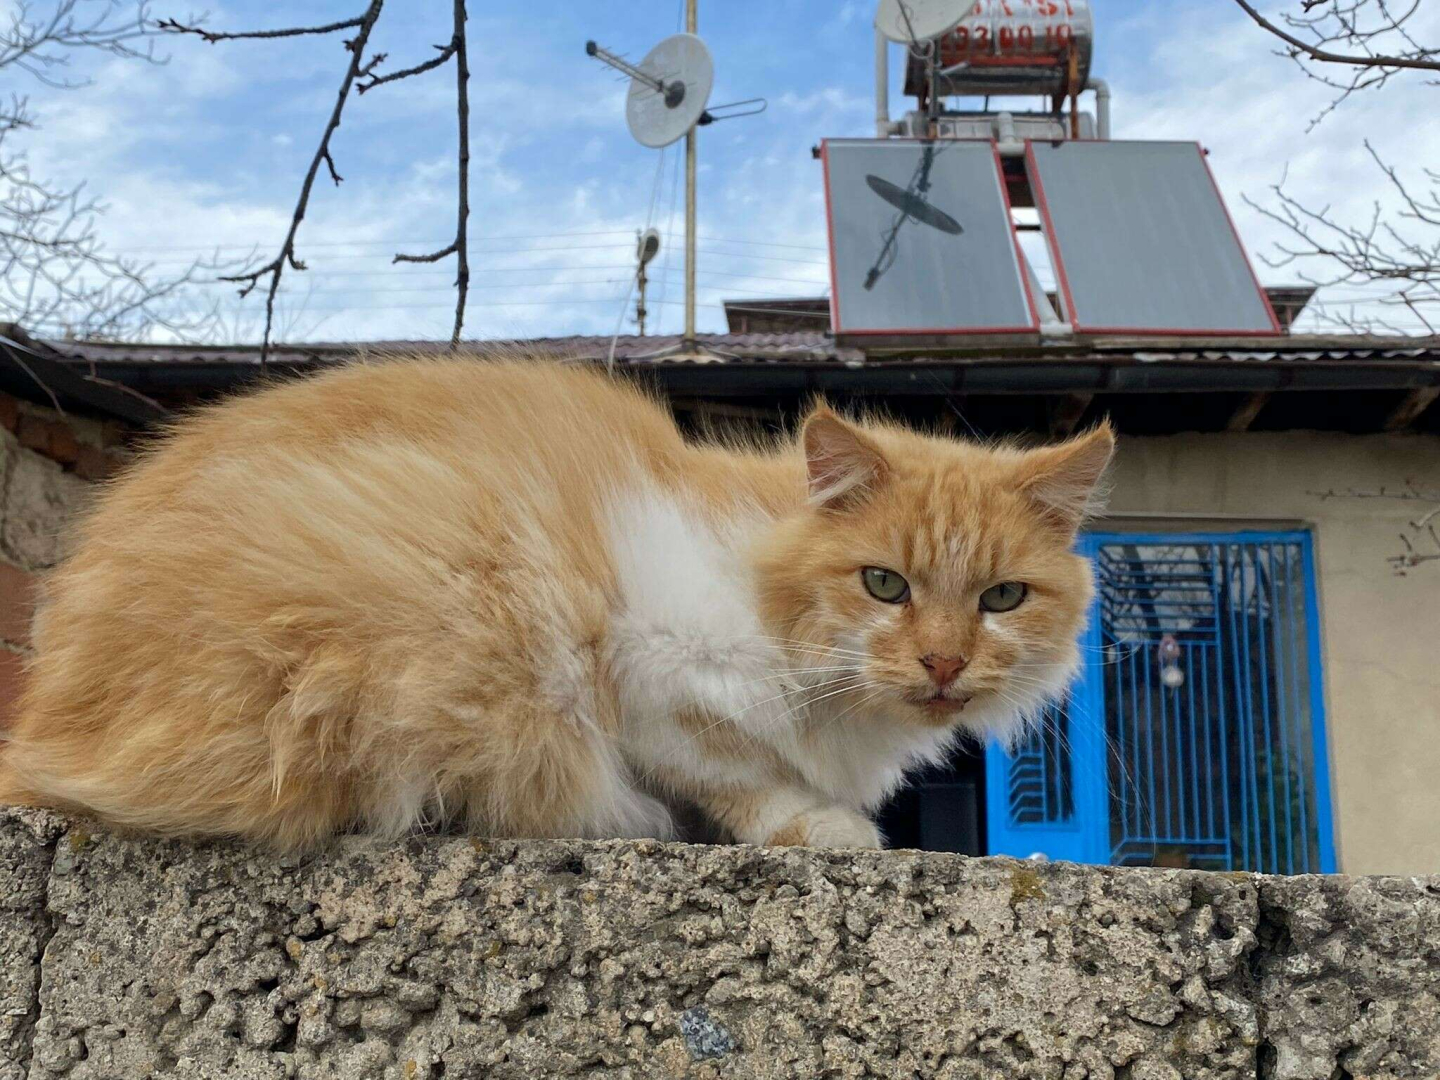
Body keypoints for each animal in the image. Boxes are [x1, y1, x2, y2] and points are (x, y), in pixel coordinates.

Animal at [0, 358, 1112, 852]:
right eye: (885, 584)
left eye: (1002, 599)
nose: (943, 664)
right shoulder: (648, 666)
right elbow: (738, 771)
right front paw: (820, 827)